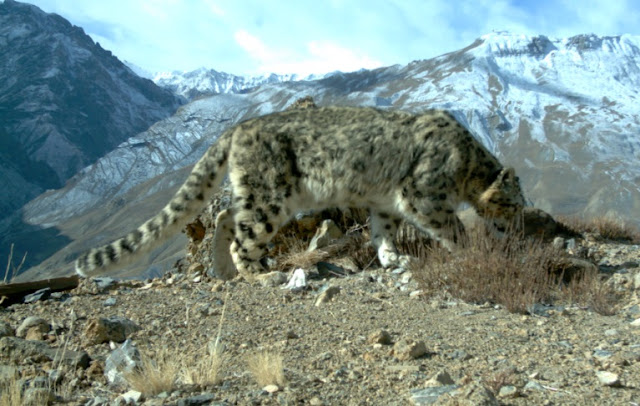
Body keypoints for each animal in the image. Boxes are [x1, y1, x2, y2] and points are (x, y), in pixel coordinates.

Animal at [76, 106, 524, 280]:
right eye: (515, 203)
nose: (520, 226)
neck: (466, 164)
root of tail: (238, 127)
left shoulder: (384, 202)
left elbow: (383, 231)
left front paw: (392, 258)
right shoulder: (424, 194)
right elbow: (452, 227)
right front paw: (472, 252)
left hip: (256, 193)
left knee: (224, 216)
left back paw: (223, 270)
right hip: (270, 197)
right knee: (243, 234)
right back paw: (259, 273)